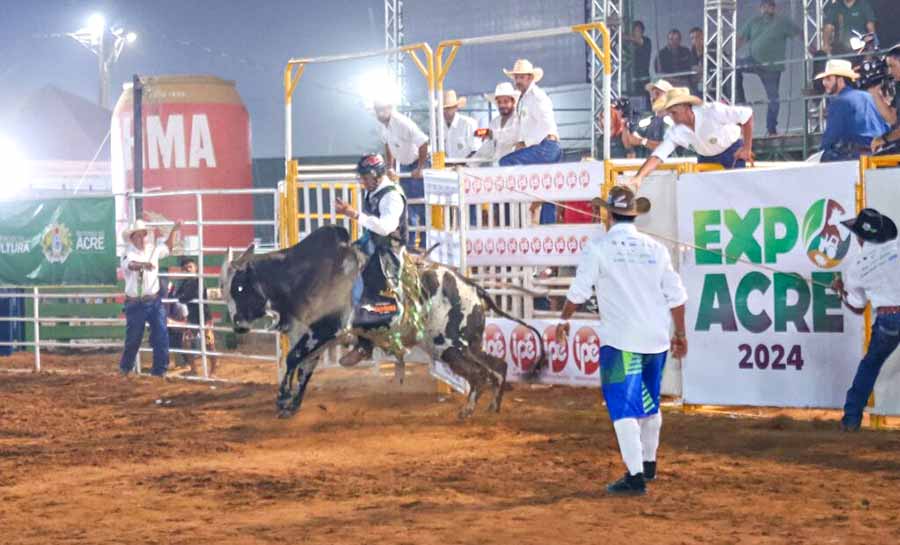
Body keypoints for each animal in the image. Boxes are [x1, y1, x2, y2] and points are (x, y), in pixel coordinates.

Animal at [221, 224, 544, 416]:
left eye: (239, 288)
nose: (237, 324)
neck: (304, 275)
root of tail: (474, 288)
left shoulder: (323, 329)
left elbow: (292, 360)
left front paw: (282, 399)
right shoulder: (315, 335)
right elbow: (305, 368)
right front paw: (292, 404)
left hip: (453, 344)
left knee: (483, 373)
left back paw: (473, 408)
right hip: (456, 346)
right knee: (494, 368)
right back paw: (490, 407)